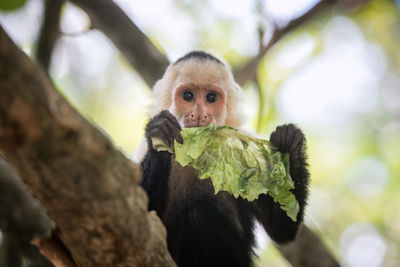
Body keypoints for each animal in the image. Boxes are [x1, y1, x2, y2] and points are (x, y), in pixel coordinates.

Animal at [141, 50, 310, 267]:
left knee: (201, 214)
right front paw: (160, 133)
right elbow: (144, 214)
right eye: (188, 96)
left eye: (211, 98)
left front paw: (290, 143)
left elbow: (282, 228)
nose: (199, 114)